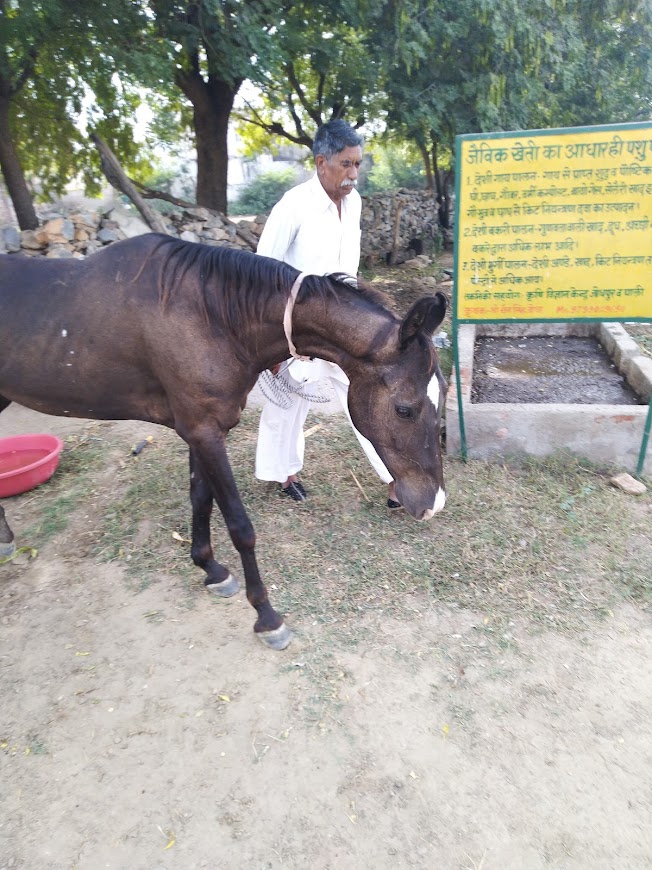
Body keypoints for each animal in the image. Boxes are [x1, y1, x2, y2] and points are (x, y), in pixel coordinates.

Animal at [0, 235, 448, 652]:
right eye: (405, 409)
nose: (433, 503)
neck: (210, 316)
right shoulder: (203, 430)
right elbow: (239, 525)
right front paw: (267, 616)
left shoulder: (202, 430)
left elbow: (200, 498)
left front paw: (210, 568)